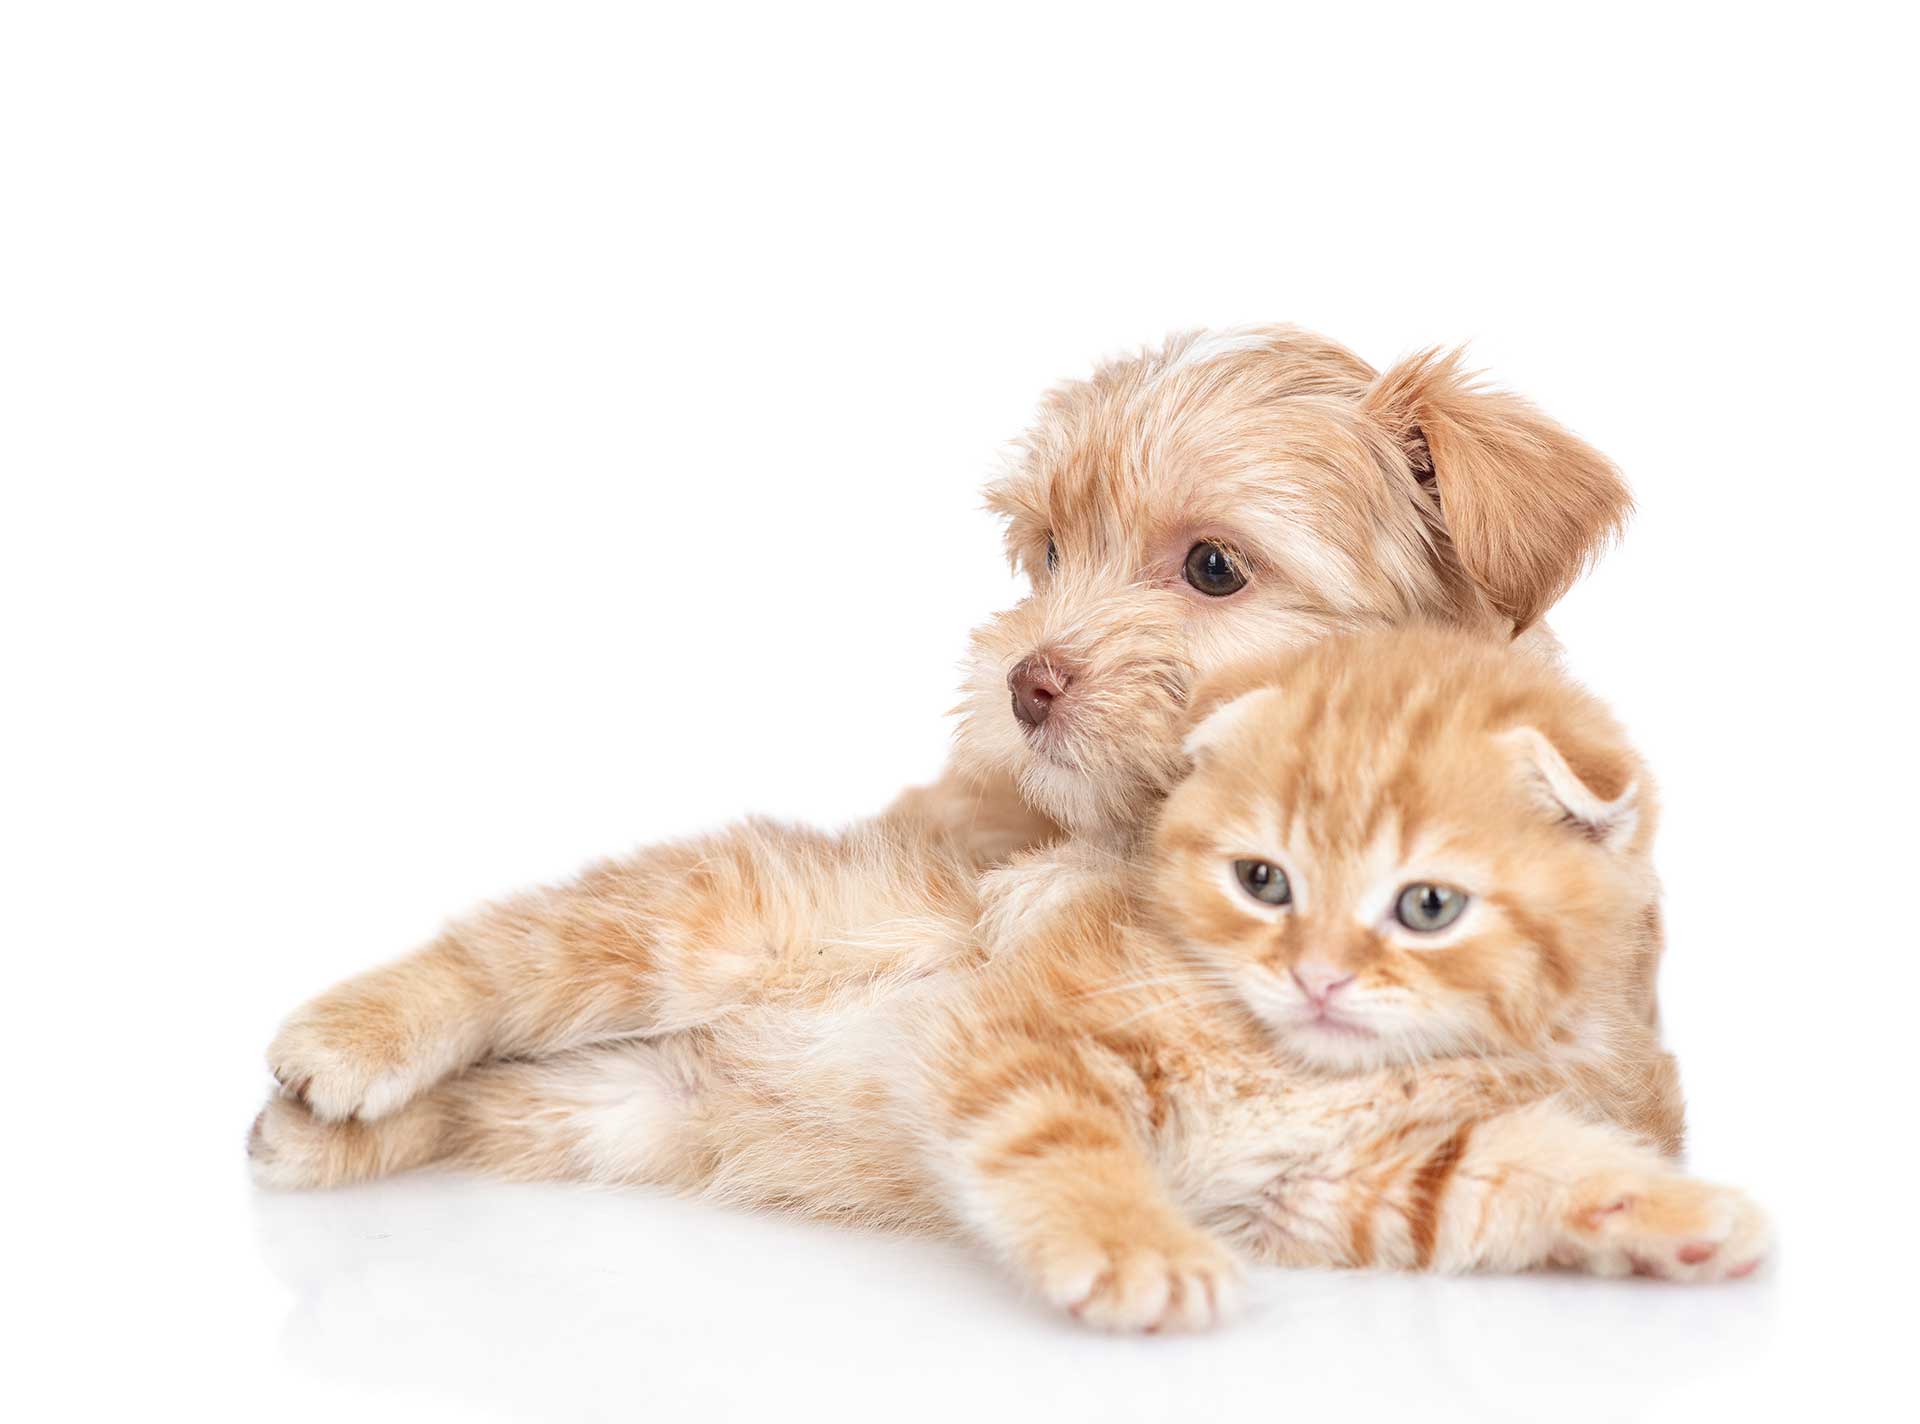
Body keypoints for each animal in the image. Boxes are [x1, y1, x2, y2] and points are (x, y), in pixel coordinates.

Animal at [247, 629, 1751, 1335]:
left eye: (1426, 906)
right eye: (1262, 880)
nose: (1320, 976)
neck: (1301, 1062)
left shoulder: (1339, 1187)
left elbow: (1507, 1175)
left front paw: (1678, 1217)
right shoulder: (1016, 1028)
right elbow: (1061, 1139)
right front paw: (1139, 1256)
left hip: (622, 1110)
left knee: (498, 1097)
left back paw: (316, 1134)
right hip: (706, 925)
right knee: (501, 956)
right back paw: (344, 1050)